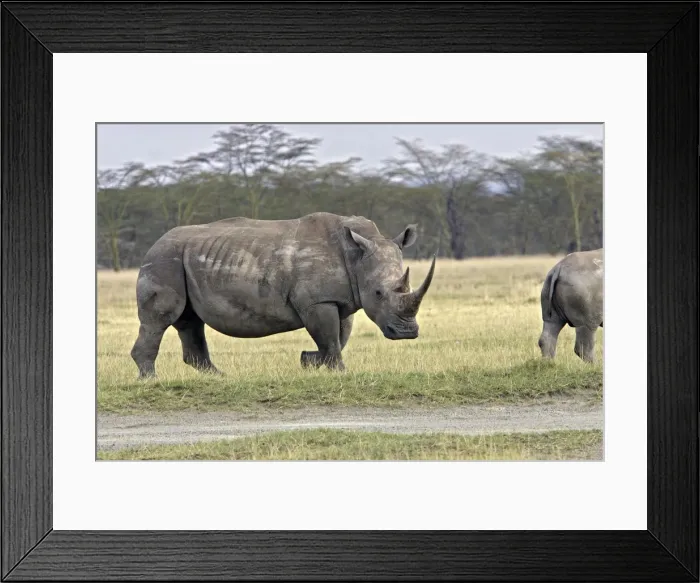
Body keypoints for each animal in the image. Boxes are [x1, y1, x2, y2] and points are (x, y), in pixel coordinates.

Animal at [130, 212, 436, 378]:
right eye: (378, 293)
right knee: (161, 319)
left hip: (181, 258)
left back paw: (221, 378)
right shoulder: (317, 301)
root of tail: (153, 244)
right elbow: (331, 340)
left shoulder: (340, 299)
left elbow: (337, 339)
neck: (356, 254)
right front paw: (338, 371)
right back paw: (151, 381)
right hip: (163, 259)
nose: (407, 333)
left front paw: (308, 360)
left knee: (190, 321)